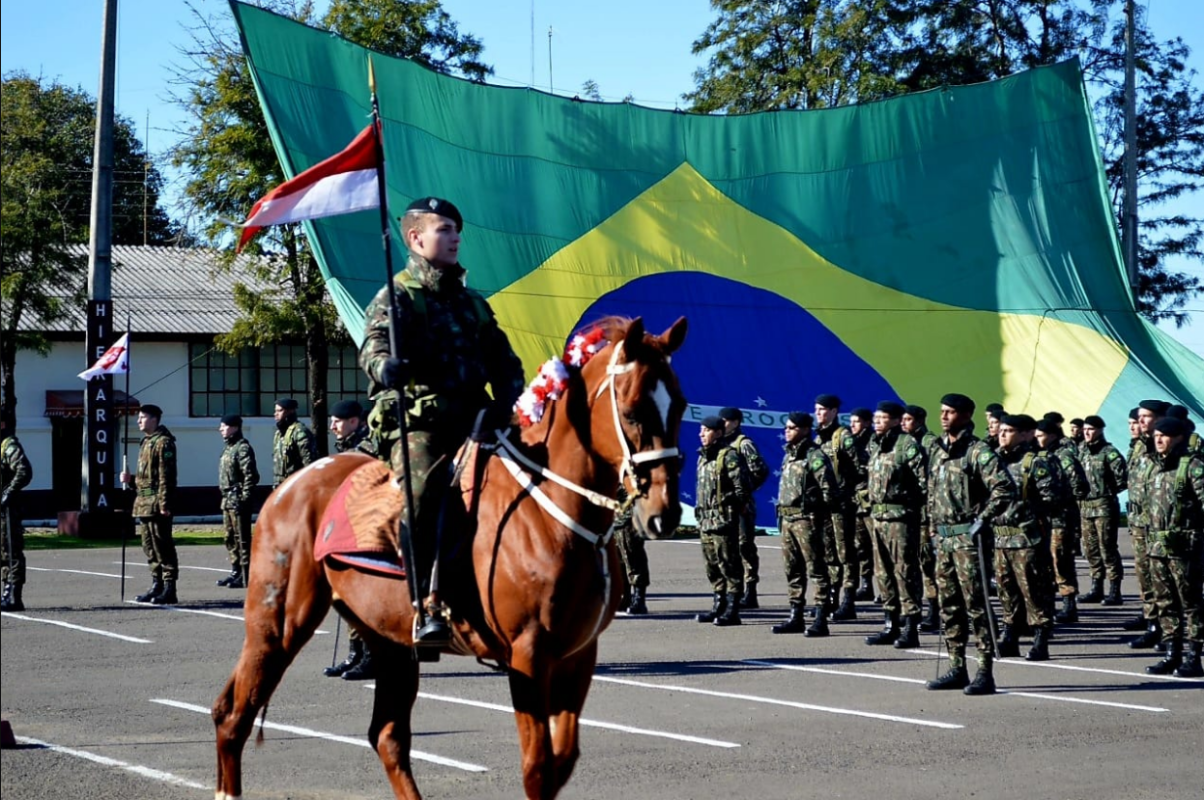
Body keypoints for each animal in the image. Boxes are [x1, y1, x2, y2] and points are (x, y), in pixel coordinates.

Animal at [211, 315, 693, 795]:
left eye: (680, 406)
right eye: (631, 411)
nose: (664, 513)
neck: (551, 511)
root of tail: (286, 489)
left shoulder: (577, 656)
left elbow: (563, 761)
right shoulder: (529, 655)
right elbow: (538, 769)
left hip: (389, 641)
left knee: (387, 736)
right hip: (276, 626)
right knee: (233, 714)